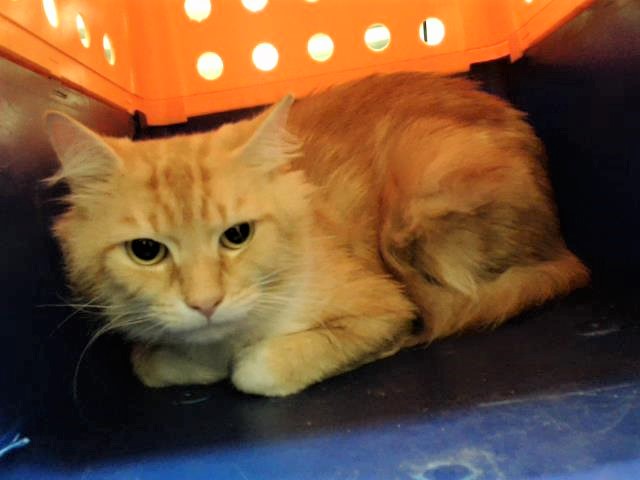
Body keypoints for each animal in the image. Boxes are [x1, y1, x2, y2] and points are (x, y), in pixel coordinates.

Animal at [45, 72, 589, 396]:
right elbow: (150, 363)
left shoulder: (386, 306)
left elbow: (255, 370)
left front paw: (237, 359)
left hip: (413, 211)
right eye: (146, 251)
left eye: (237, 235)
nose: (206, 303)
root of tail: (564, 248)